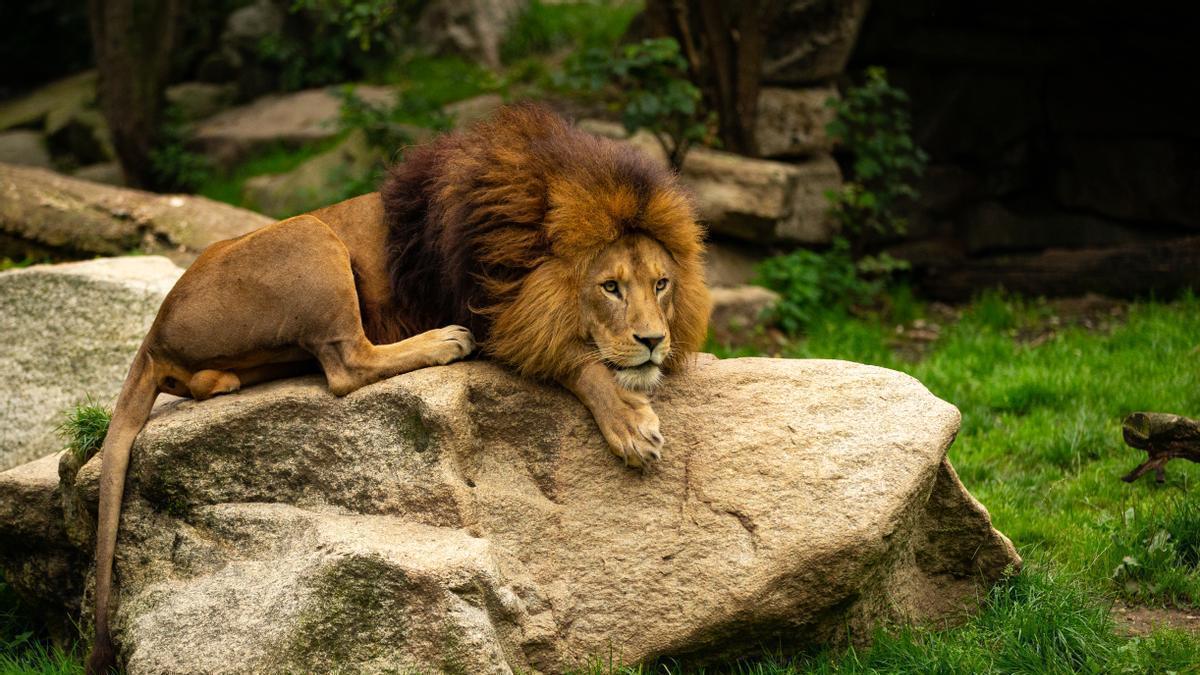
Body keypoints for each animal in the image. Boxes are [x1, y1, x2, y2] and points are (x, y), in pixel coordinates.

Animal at [85, 104, 710, 673]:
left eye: (661, 283)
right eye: (609, 287)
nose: (653, 340)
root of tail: (154, 330)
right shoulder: (499, 314)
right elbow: (581, 360)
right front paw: (629, 422)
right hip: (312, 235)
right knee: (345, 364)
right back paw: (444, 342)